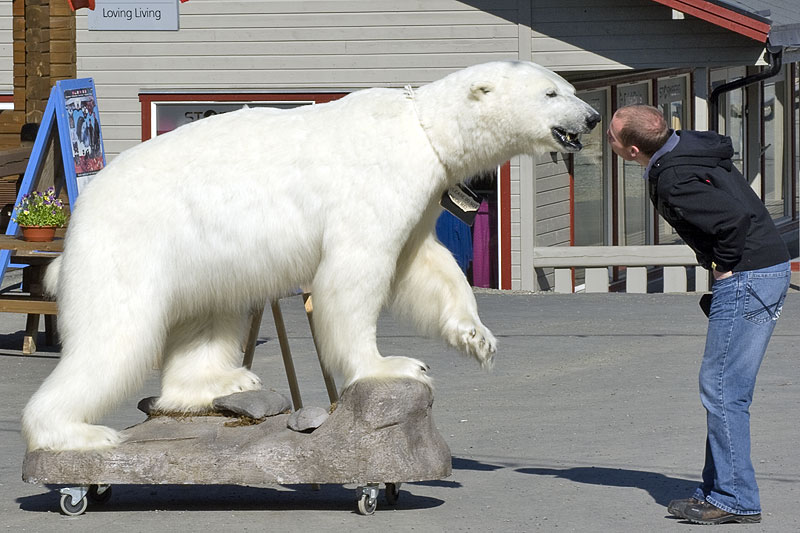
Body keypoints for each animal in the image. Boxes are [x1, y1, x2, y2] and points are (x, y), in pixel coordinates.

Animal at [21, 60, 596, 448]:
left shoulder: (421, 195)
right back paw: (75, 434)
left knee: (208, 317)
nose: (590, 118)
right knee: (114, 338)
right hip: (129, 247)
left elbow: (425, 265)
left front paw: (477, 338)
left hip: (202, 259)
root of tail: (79, 218)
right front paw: (393, 365)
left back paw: (222, 380)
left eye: (569, 87)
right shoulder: (375, 184)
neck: (423, 128)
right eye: (551, 91)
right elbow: (356, 273)